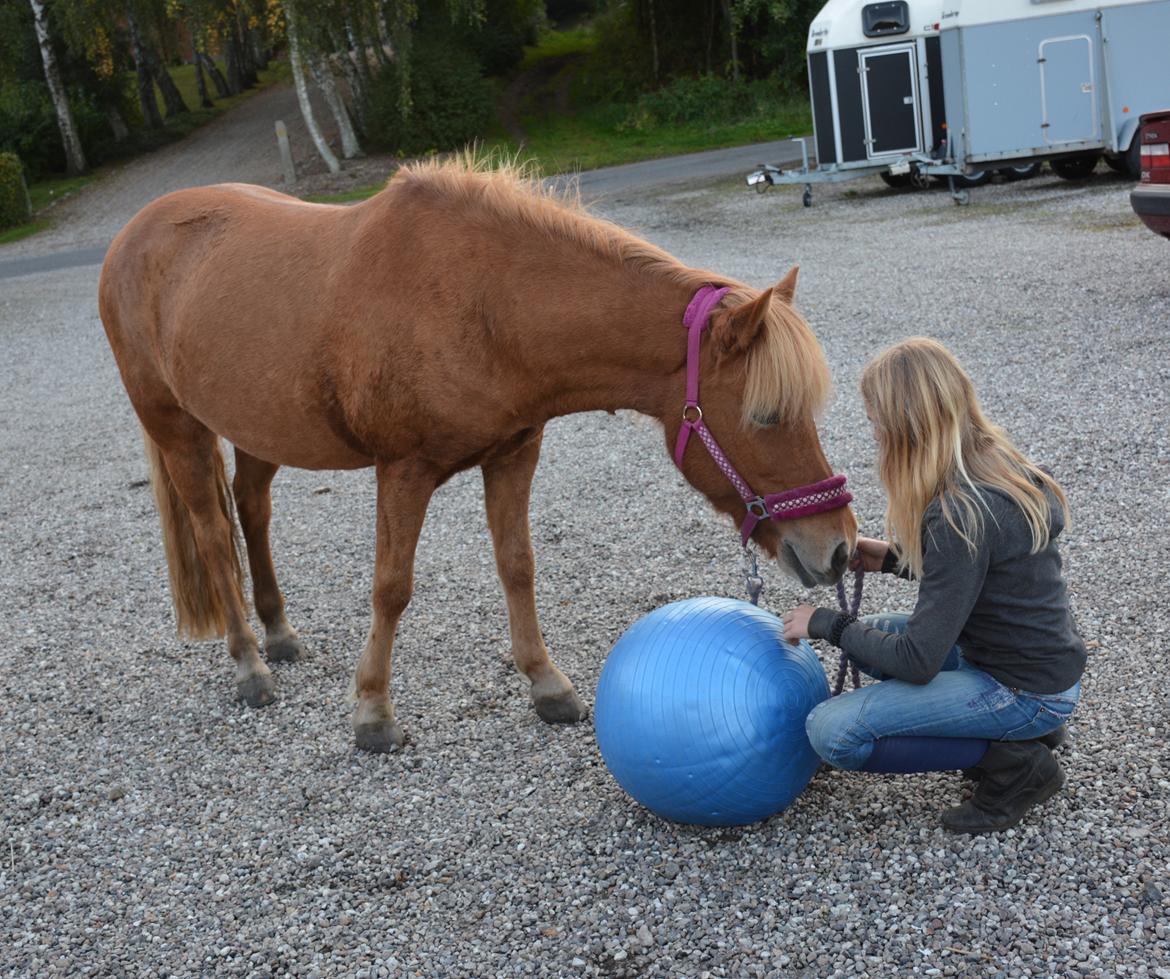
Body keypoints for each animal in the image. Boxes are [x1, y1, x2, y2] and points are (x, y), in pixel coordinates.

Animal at [95, 156, 856, 753]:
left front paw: (548, 685)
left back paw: (279, 633)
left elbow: (518, 567)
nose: (841, 548)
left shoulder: (513, 455)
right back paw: (250, 666)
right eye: (766, 415)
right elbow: (391, 586)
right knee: (213, 533)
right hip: (178, 429)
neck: (485, 302)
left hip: (261, 430)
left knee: (252, 511)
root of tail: (134, 233)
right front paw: (373, 713)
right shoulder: (404, 470)